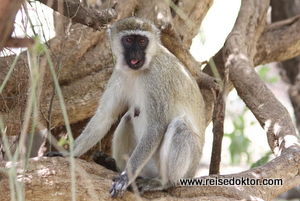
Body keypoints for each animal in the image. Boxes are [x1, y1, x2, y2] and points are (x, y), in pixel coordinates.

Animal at [45, 16, 205, 198]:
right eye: (128, 40)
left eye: (142, 41)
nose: (135, 53)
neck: (142, 68)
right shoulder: (119, 73)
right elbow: (105, 116)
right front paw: (68, 153)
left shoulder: (158, 77)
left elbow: (156, 127)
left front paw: (125, 178)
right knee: (127, 118)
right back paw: (113, 166)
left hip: (185, 170)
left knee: (179, 126)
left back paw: (163, 182)